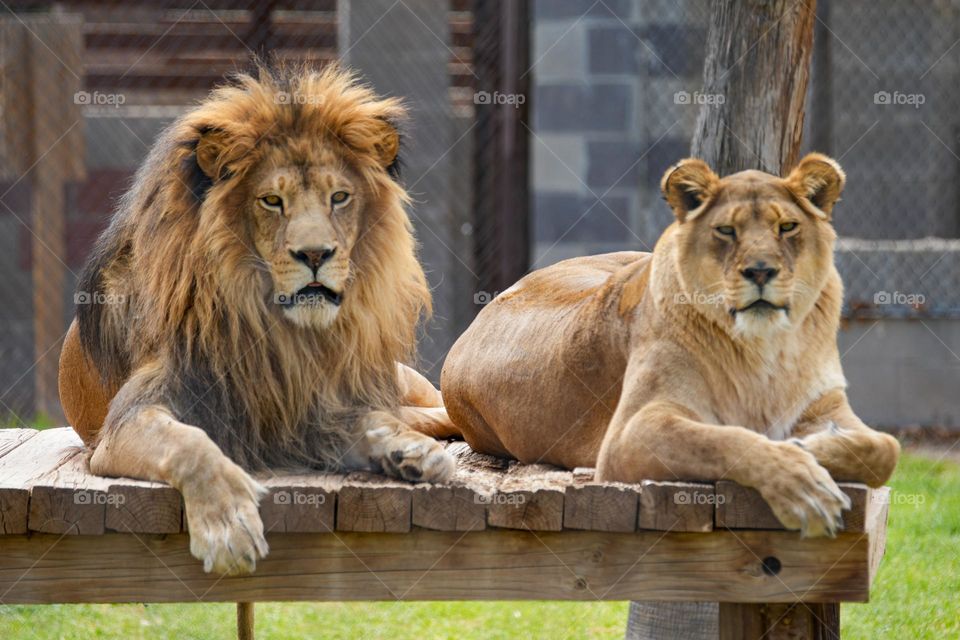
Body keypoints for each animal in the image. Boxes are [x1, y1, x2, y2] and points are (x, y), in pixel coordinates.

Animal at [58, 64, 455, 575]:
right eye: (271, 201)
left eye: (339, 197)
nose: (315, 254)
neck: (270, 327)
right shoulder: (125, 423)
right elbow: (189, 445)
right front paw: (228, 526)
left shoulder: (313, 406)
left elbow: (369, 420)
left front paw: (409, 451)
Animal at [436, 154, 900, 537]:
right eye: (726, 231)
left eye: (787, 227)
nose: (760, 271)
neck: (764, 347)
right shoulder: (629, 434)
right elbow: (726, 440)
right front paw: (802, 484)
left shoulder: (826, 406)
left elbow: (885, 448)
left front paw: (812, 448)